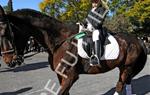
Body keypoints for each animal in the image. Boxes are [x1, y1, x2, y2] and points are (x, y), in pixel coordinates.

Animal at [0, 5, 148, 95]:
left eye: (6, 33)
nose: (8, 61)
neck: (59, 40)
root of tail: (137, 39)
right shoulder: (61, 75)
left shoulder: (70, 76)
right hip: (124, 67)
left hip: (127, 67)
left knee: (120, 85)